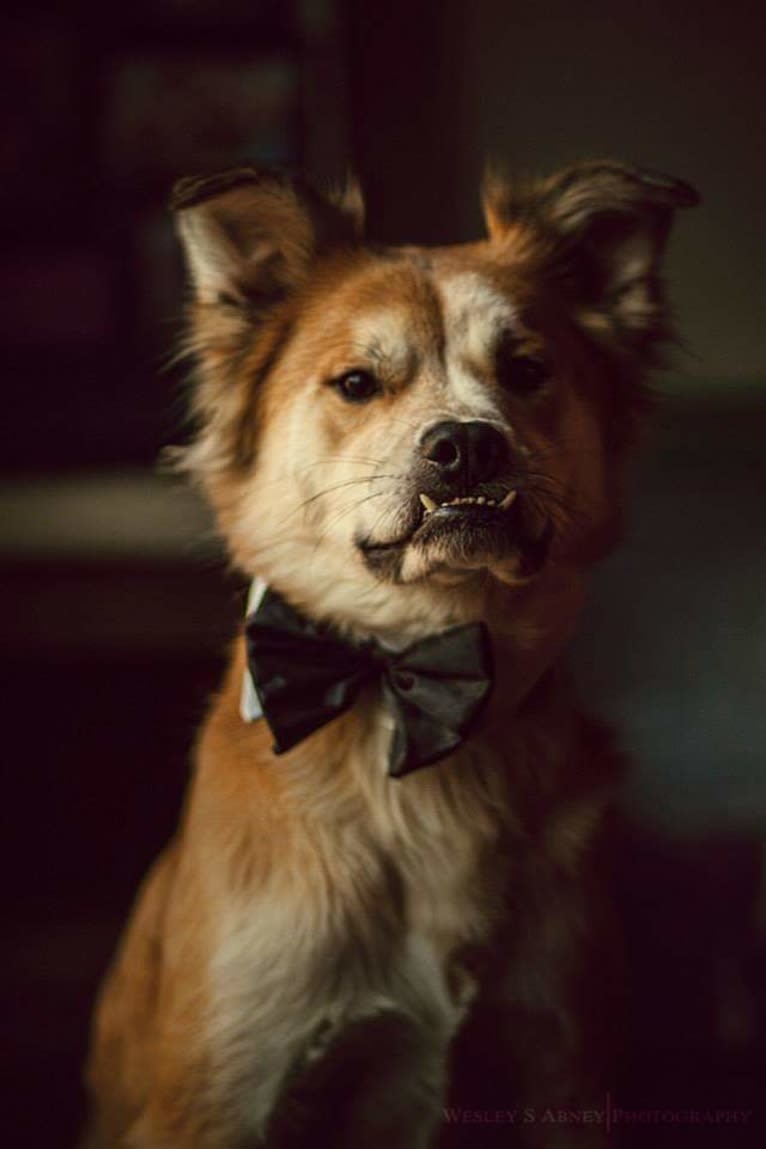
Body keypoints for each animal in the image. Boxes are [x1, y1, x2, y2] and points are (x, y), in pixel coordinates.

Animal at [80, 157, 698, 1144]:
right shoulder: (218, 1095)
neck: (410, 686)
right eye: (357, 383)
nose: (468, 446)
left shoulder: (562, 1063)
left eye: (528, 370)